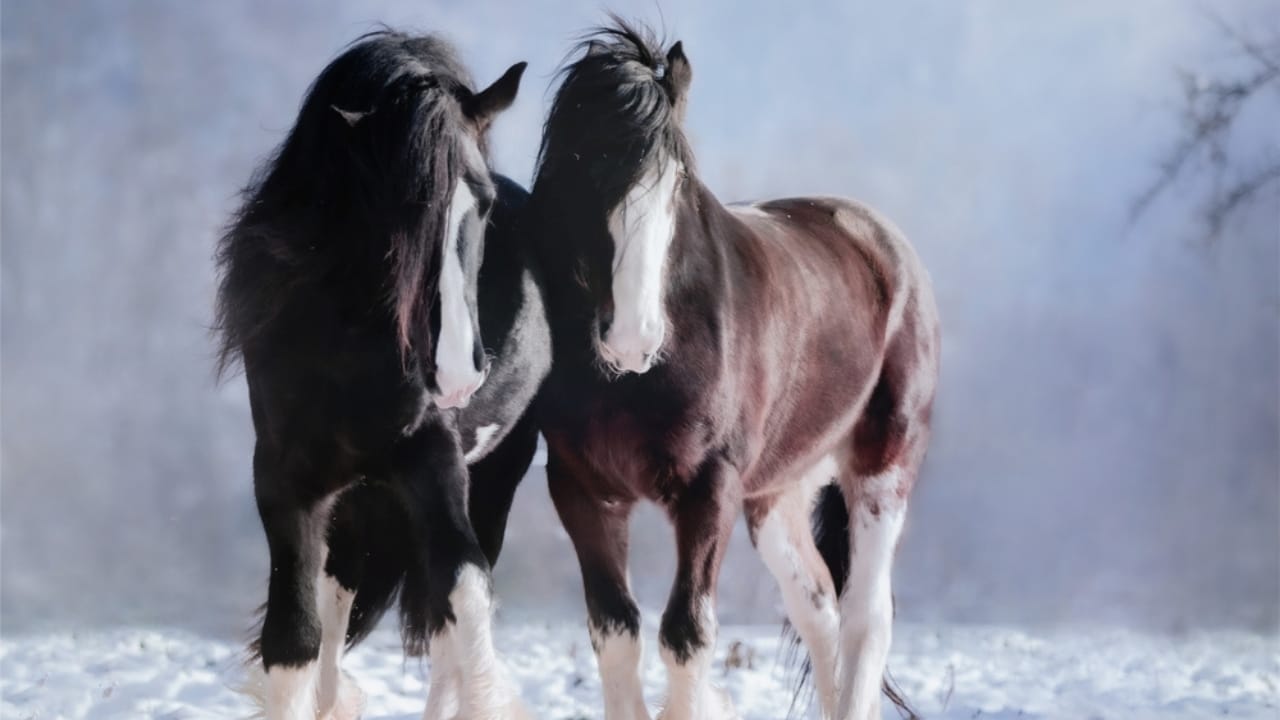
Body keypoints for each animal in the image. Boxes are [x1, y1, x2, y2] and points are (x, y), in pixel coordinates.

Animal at [214, 31, 550, 720]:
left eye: (482, 204)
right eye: (397, 213)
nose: (457, 373)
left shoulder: (433, 460)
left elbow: (464, 595)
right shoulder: (285, 479)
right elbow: (294, 638)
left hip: (495, 474)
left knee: (449, 623)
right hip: (358, 502)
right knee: (338, 600)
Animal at [526, 21, 939, 720]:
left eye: (675, 183)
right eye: (582, 176)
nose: (634, 339)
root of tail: (884, 244)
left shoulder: (708, 488)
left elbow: (686, 634)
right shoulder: (583, 491)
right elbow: (615, 632)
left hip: (883, 465)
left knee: (865, 619)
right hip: (776, 493)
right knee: (819, 608)